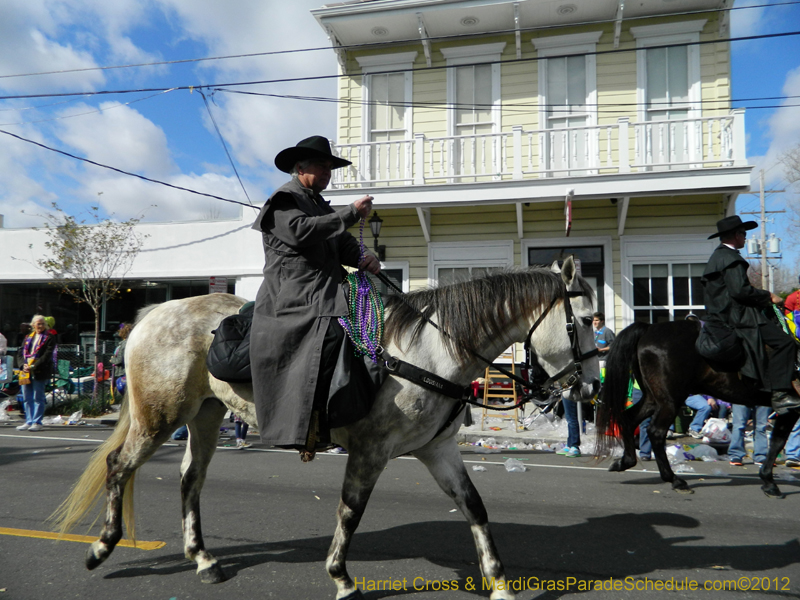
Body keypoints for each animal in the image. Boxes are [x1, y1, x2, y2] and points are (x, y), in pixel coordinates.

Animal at [53, 258, 596, 600]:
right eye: (587, 320)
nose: (589, 386)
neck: (427, 353)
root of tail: (150, 315)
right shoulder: (370, 452)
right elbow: (350, 512)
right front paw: (341, 577)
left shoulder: (439, 452)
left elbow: (476, 509)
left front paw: (501, 584)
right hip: (159, 417)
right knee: (118, 466)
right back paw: (101, 546)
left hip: (204, 415)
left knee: (190, 480)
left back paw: (202, 558)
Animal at [596, 322, 796, 500]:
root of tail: (649, 328)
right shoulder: (791, 409)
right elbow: (778, 442)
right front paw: (770, 483)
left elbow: (777, 440)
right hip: (670, 401)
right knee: (656, 432)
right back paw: (675, 480)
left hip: (653, 399)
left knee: (629, 420)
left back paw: (625, 461)